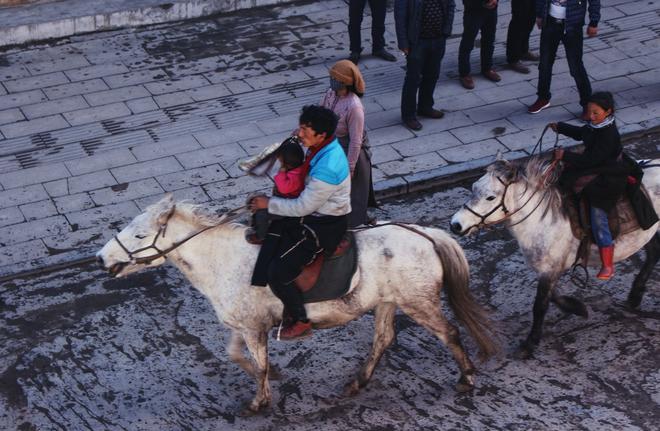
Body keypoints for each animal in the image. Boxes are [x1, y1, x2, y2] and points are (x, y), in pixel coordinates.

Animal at [98, 196, 498, 416]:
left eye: (139, 235)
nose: (102, 258)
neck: (223, 259)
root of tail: (426, 234)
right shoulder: (242, 324)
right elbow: (236, 355)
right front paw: (270, 379)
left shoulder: (252, 327)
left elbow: (257, 364)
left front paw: (259, 401)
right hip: (387, 301)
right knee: (383, 339)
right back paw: (358, 382)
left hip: (419, 303)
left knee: (449, 333)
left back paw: (466, 377)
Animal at [452, 157, 656, 360]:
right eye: (473, 187)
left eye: (491, 197)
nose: (455, 225)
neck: (541, 220)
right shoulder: (548, 267)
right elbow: (552, 296)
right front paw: (575, 307)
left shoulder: (550, 269)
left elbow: (540, 305)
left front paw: (529, 344)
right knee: (654, 254)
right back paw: (635, 296)